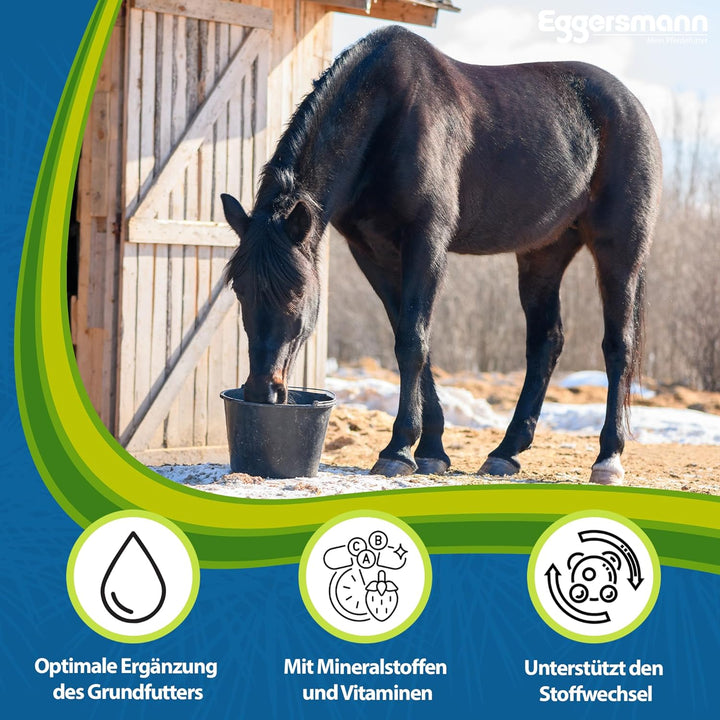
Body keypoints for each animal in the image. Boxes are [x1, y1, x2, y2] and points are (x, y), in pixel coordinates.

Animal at [221, 26, 661, 486]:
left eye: (296, 293)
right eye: (239, 291)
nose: (262, 392)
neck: (387, 114)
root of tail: (631, 106)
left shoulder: (426, 241)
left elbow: (412, 341)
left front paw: (398, 451)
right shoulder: (373, 253)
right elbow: (415, 341)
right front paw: (430, 450)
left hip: (620, 250)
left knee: (618, 345)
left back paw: (608, 458)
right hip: (543, 253)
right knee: (546, 341)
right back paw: (505, 453)